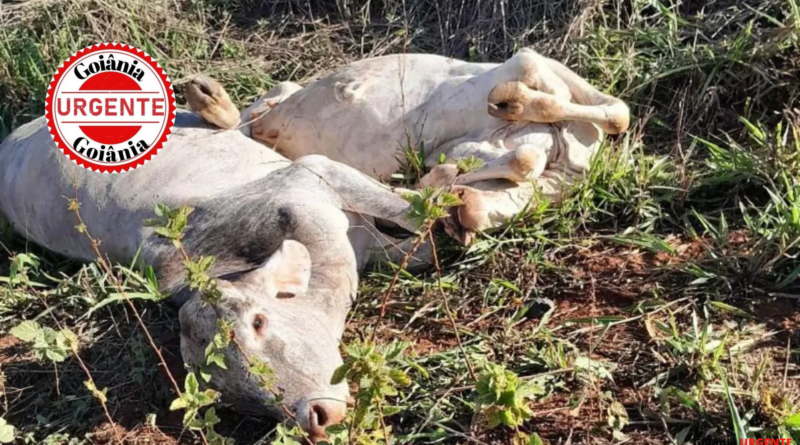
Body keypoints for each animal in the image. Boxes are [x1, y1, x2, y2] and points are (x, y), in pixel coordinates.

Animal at [190, 48, 629, 244]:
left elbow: (521, 160)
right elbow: (616, 112)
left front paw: (435, 187)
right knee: (259, 110)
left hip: (276, 127)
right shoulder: (530, 63)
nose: (458, 220)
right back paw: (208, 96)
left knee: (262, 113)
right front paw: (512, 101)